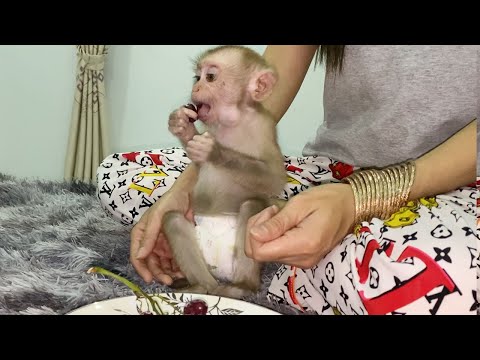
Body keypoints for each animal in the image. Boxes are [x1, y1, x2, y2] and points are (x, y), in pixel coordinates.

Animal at [163, 45, 286, 298]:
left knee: (251, 206)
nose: (196, 87)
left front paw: (214, 152)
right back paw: (202, 287)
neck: (232, 121)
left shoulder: (264, 127)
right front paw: (181, 125)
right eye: (196, 77)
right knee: (173, 219)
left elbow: (274, 179)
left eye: (210, 77)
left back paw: (242, 286)